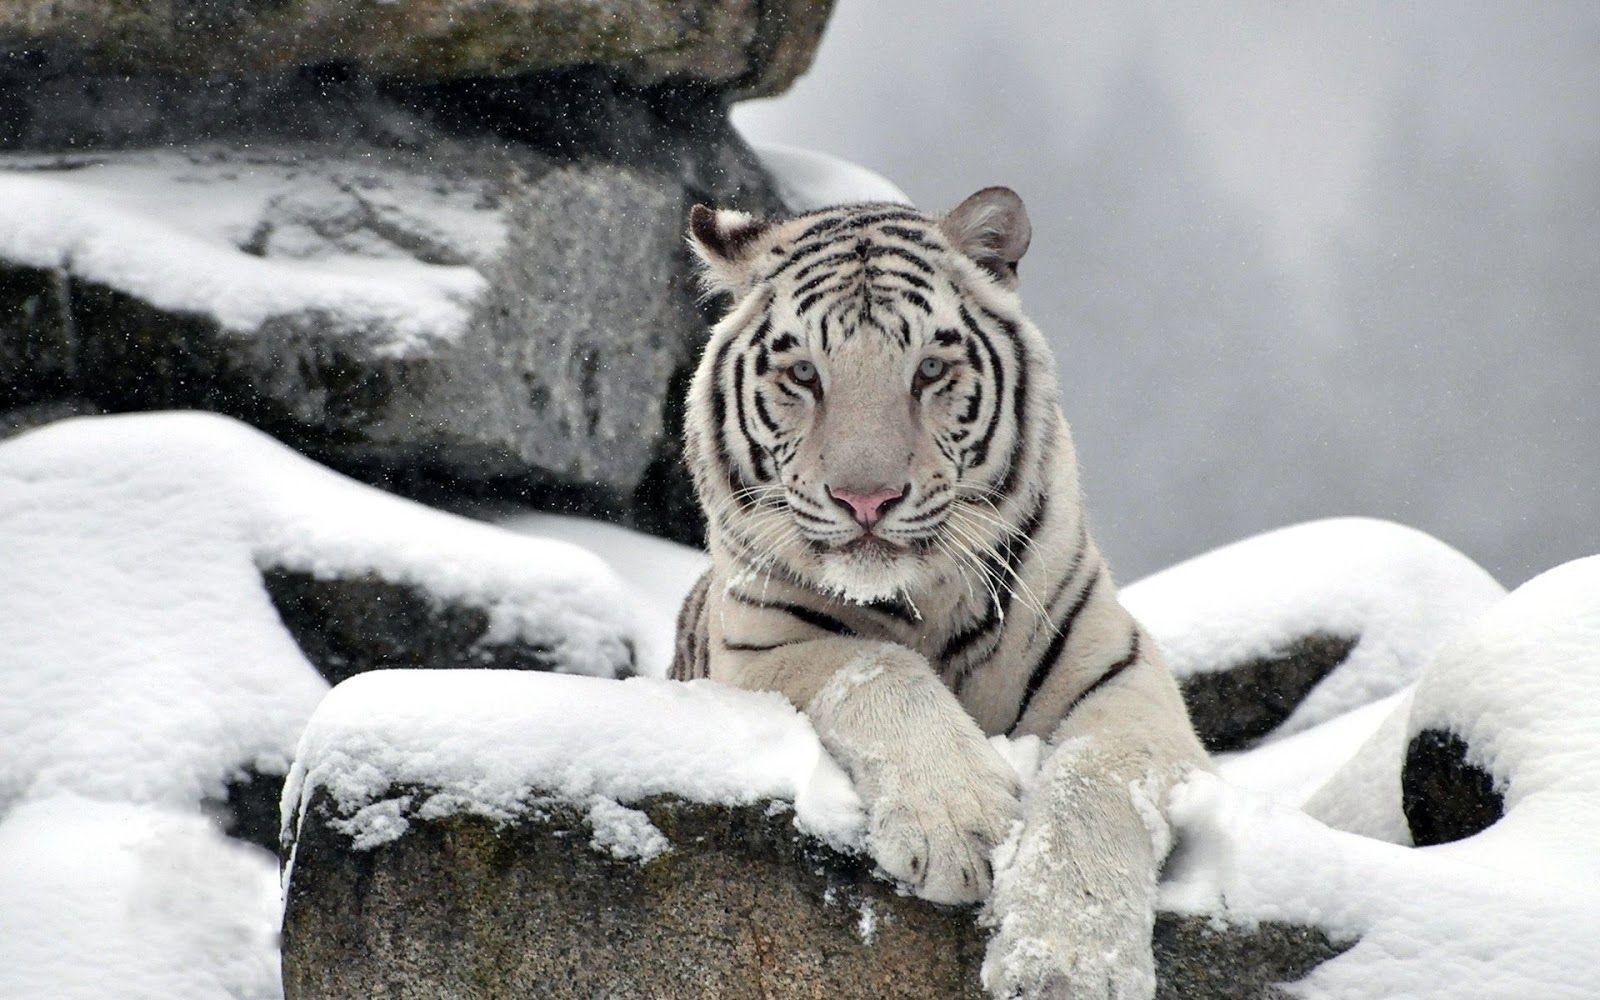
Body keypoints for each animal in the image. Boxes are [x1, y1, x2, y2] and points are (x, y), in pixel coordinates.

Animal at [670, 187, 1209, 999]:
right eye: (804, 374)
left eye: (928, 369)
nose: (866, 499)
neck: (923, 602)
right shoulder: (761, 649)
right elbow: (878, 670)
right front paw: (962, 827)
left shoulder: (1126, 677)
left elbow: (1095, 779)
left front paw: (1066, 964)